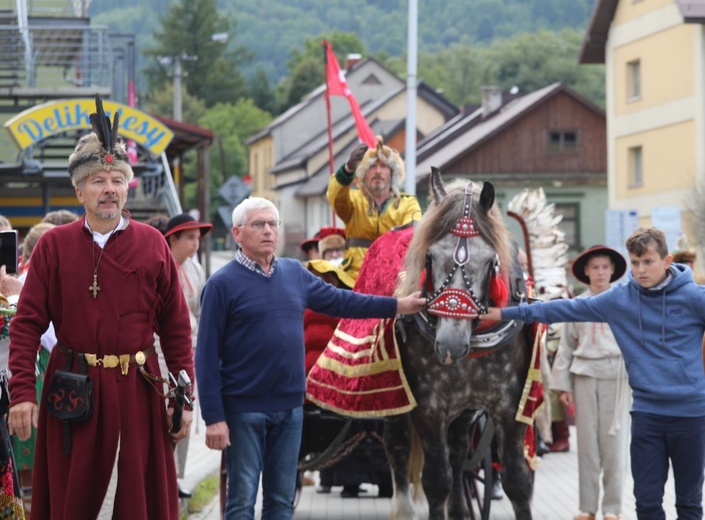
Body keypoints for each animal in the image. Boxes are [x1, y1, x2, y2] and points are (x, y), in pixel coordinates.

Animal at [384, 170, 532, 520]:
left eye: (490, 260)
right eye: (429, 256)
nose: (450, 344)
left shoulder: (511, 407)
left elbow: (518, 482)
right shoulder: (427, 408)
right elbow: (437, 481)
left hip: (464, 410)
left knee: (459, 453)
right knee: (398, 447)